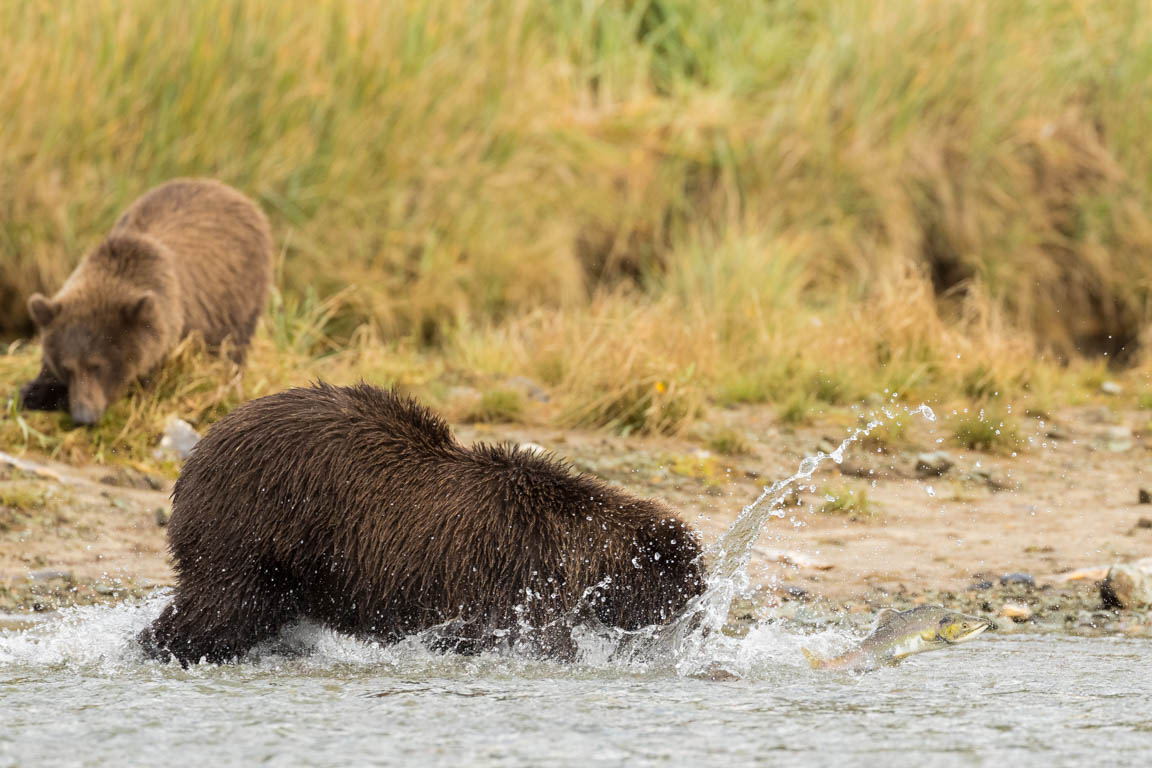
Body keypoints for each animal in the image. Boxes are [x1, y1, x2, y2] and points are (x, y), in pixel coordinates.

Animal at [19, 177, 271, 423]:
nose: (84, 416)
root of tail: (230, 190)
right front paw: (33, 393)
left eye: (97, 365)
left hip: (242, 294)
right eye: (66, 367)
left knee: (235, 347)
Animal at [139, 384, 705, 667]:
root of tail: (201, 450)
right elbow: (527, 642)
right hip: (257, 524)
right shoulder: (512, 580)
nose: (701, 618)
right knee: (221, 605)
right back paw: (162, 648)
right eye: (685, 584)